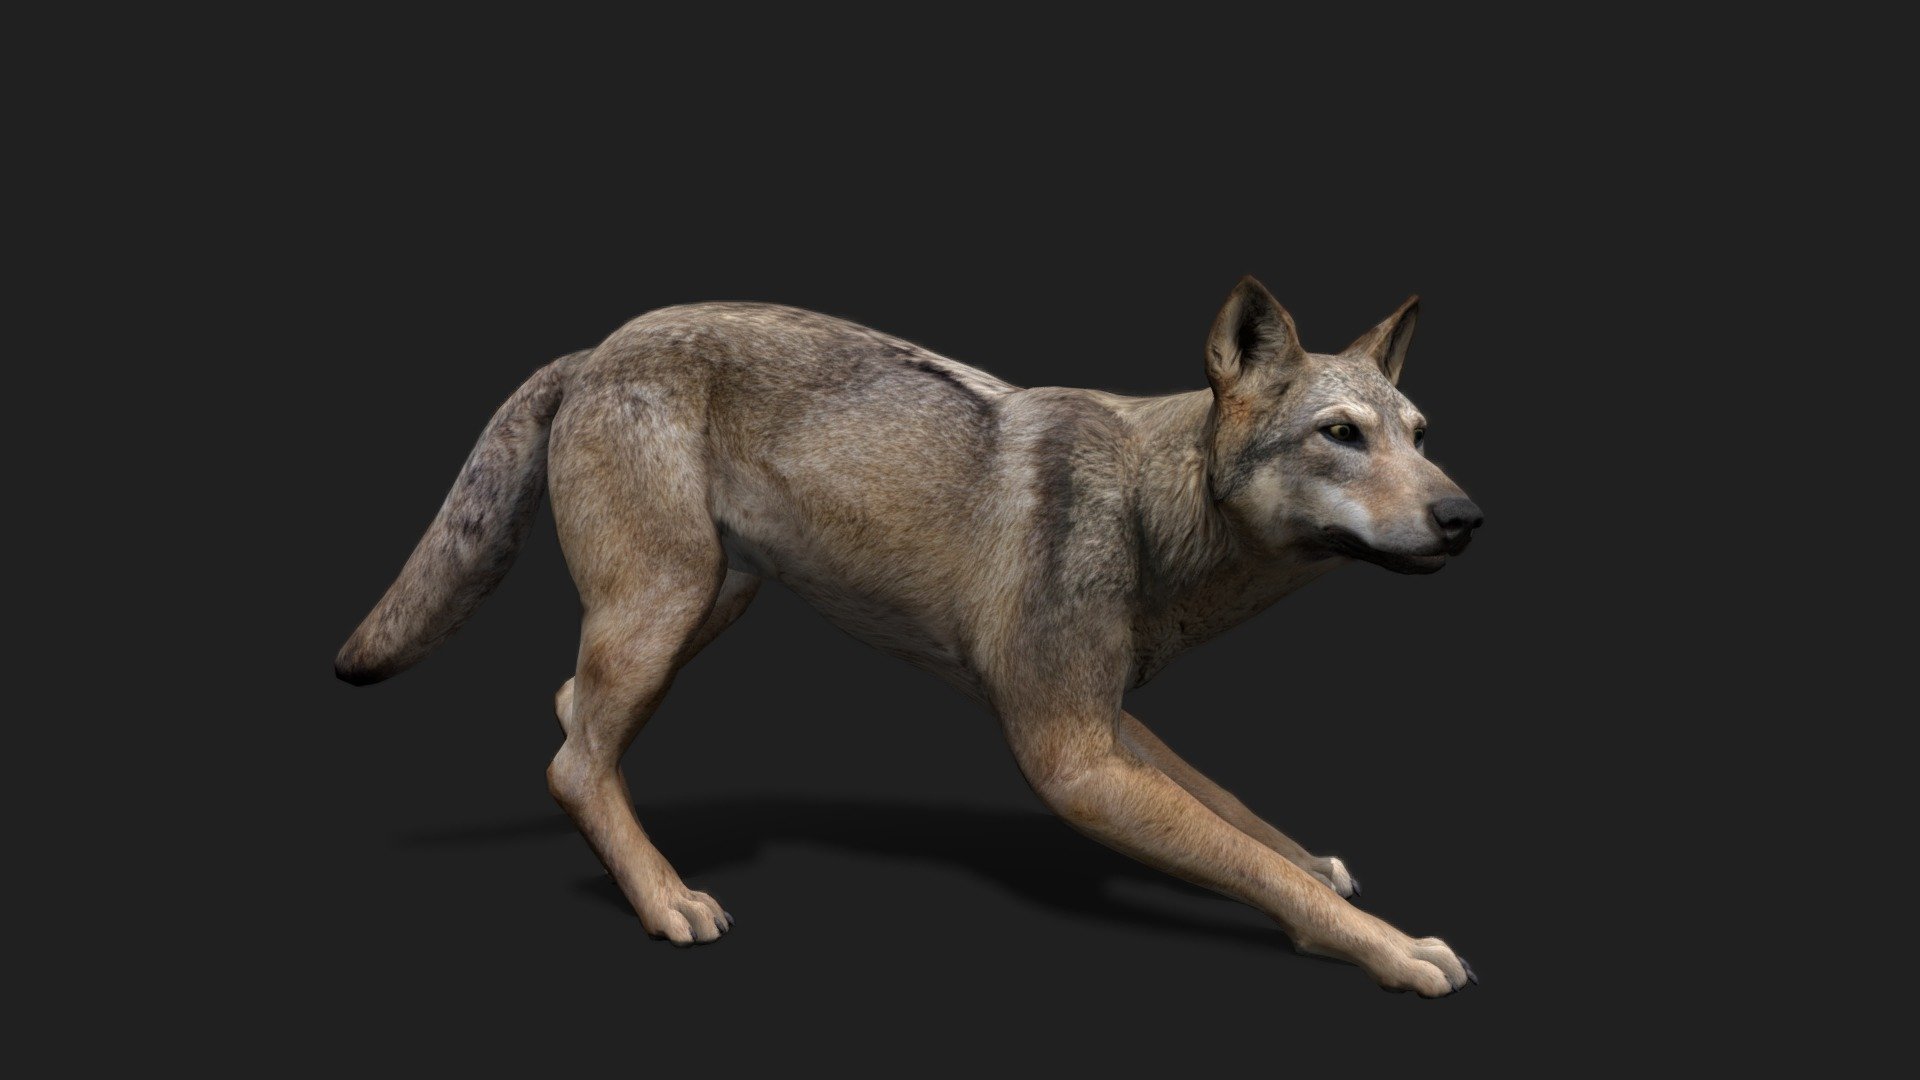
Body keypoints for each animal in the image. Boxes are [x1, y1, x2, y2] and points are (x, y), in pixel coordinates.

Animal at [336, 277, 1485, 996]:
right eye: (1341, 435)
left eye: (1421, 436)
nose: (1467, 517)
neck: (1155, 515)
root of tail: (594, 347)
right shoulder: (1073, 761)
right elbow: (1251, 864)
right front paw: (1398, 951)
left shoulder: (1108, 721)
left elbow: (1246, 820)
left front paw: (1322, 868)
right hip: (665, 605)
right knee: (572, 763)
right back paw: (666, 900)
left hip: (709, 604)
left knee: (574, 715)